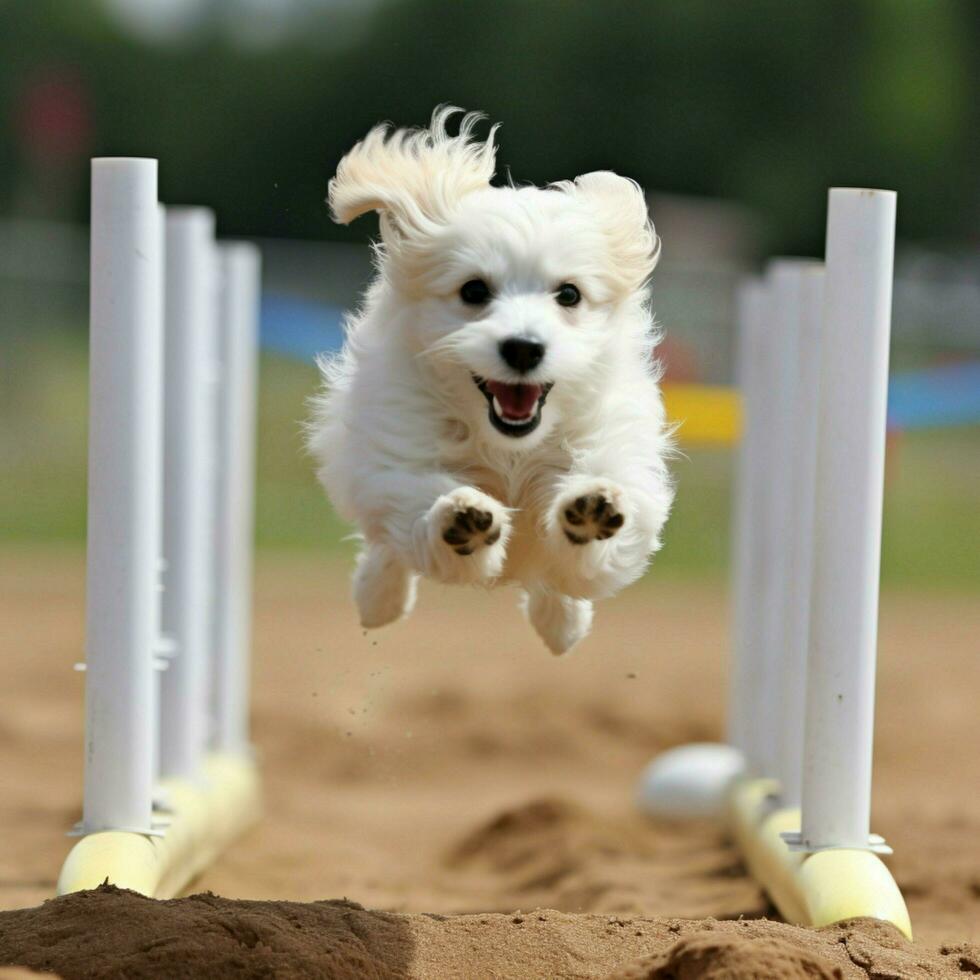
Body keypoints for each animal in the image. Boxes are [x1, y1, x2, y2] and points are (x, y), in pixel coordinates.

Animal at [308, 107, 672, 656]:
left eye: (569, 294)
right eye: (474, 290)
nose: (523, 347)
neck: (509, 449)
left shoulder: (614, 452)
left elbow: (589, 551)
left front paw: (589, 513)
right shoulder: (400, 455)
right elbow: (419, 511)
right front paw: (460, 520)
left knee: (553, 586)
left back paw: (562, 625)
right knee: (387, 551)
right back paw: (378, 599)